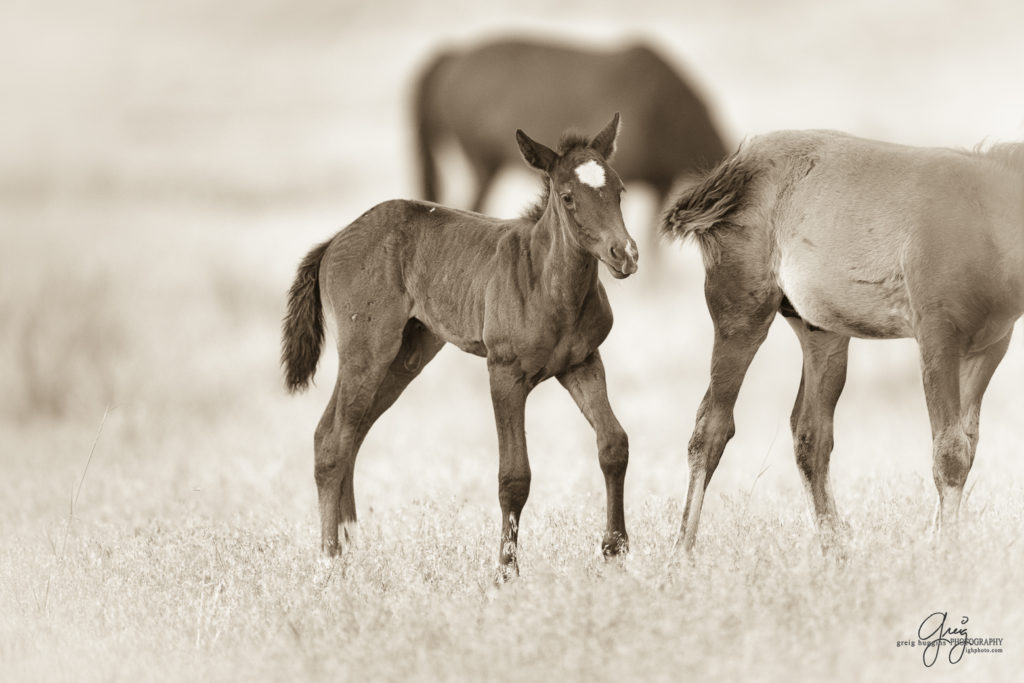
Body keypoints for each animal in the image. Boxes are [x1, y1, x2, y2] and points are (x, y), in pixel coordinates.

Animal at [280, 114, 630, 581]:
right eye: (568, 197)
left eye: (620, 190)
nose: (625, 253)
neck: (550, 284)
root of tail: (335, 239)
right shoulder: (504, 371)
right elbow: (514, 476)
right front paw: (506, 572)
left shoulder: (584, 362)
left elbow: (613, 445)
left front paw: (616, 550)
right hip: (366, 351)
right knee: (334, 440)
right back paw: (330, 558)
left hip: (404, 358)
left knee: (346, 434)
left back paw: (352, 547)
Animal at [659, 131, 1024, 552]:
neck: (987, 221)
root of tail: (736, 167)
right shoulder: (937, 338)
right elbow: (949, 453)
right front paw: (944, 552)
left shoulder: (989, 347)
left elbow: (967, 444)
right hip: (741, 316)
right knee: (711, 427)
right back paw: (681, 553)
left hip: (823, 333)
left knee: (810, 434)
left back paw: (835, 550)